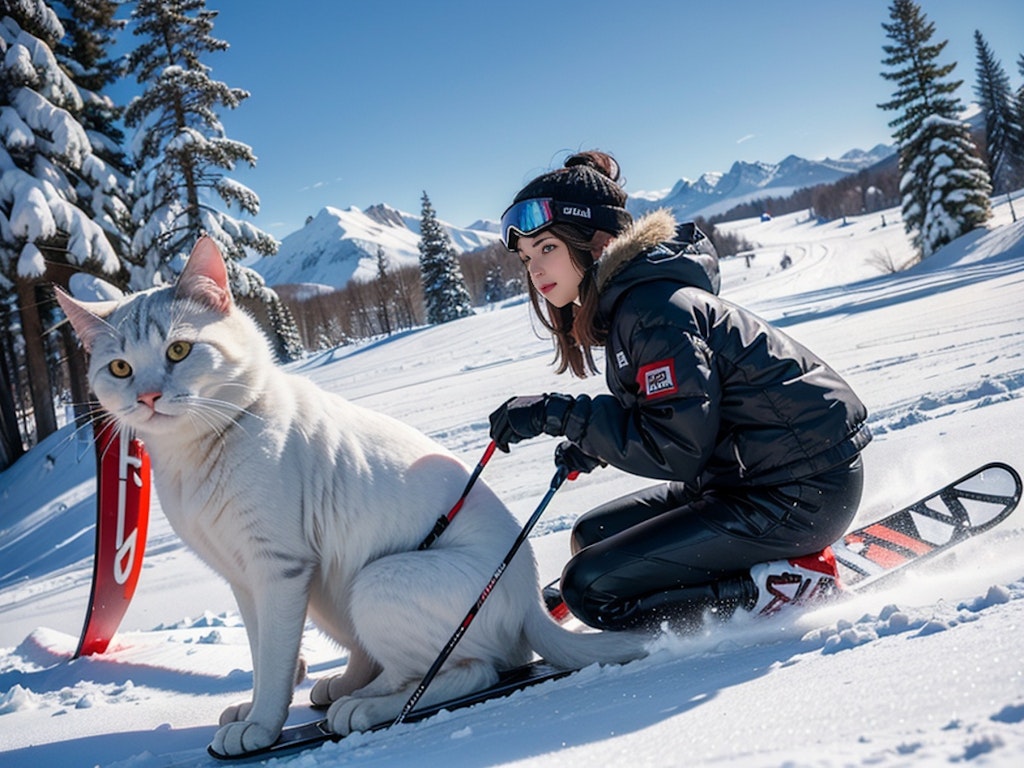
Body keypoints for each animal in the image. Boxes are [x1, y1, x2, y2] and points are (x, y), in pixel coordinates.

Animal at [56, 239, 643, 757]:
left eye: (179, 350)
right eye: (119, 369)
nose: (148, 396)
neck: (203, 448)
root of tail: (530, 601)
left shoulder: (278, 569)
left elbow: (275, 662)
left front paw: (262, 728)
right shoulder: (243, 577)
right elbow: (262, 652)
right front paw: (253, 711)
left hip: (376, 582)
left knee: (469, 670)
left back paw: (365, 708)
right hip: (333, 586)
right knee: (395, 662)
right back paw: (348, 689)